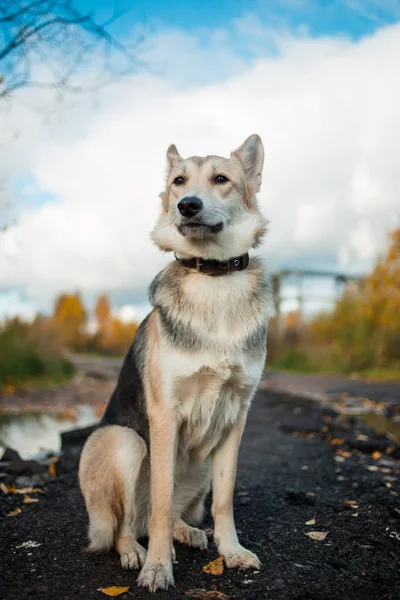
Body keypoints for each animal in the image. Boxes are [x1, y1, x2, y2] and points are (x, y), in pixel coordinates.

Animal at [78, 135, 272, 592]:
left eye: (221, 179)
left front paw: (230, 550)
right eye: (179, 181)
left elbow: (224, 500)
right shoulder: (165, 416)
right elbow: (162, 503)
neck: (213, 278)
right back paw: (136, 551)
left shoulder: (236, 417)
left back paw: (187, 532)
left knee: (167, 514)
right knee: (129, 524)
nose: (187, 205)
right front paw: (158, 567)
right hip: (126, 442)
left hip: (200, 466)